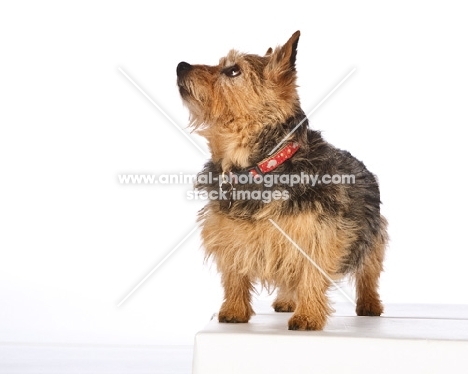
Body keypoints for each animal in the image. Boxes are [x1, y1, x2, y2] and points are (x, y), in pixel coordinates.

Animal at [176, 32, 388, 330]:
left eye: (233, 70)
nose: (180, 65)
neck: (260, 165)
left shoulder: (316, 233)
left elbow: (310, 274)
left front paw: (308, 315)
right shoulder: (228, 232)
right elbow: (234, 274)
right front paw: (234, 310)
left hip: (374, 235)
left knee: (369, 271)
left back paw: (369, 303)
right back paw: (287, 300)